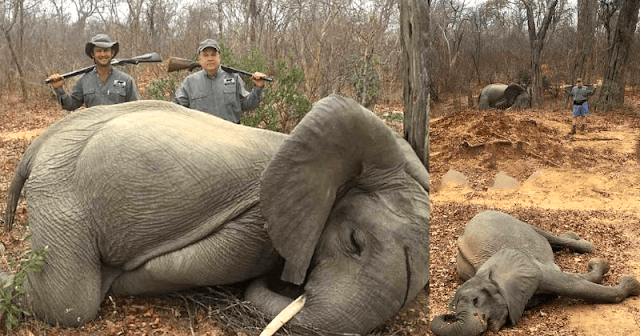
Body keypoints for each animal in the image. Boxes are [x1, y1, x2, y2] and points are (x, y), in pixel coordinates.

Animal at [430, 210, 640, 336]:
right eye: (454, 308)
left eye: (476, 301)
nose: (449, 316)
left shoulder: (535, 270)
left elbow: (573, 284)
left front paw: (629, 283)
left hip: (516, 221)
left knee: (547, 235)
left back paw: (581, 243)